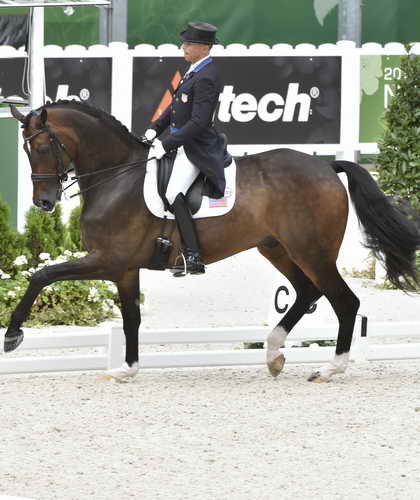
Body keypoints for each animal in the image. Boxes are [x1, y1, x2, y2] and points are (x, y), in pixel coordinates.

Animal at [4, 101, 420, 382]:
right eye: (24, 149)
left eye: (43, 147)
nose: (44, 202)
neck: (117, 177)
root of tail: (327, 166)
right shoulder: (123, 268)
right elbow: (130, 319)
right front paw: (127, 369)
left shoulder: (107, 259)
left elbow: (41, 275)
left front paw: (12, 336)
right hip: (278, 248)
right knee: (306, 293)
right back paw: (273, 354)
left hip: (312, 252)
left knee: (344, 302)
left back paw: (328, 368)